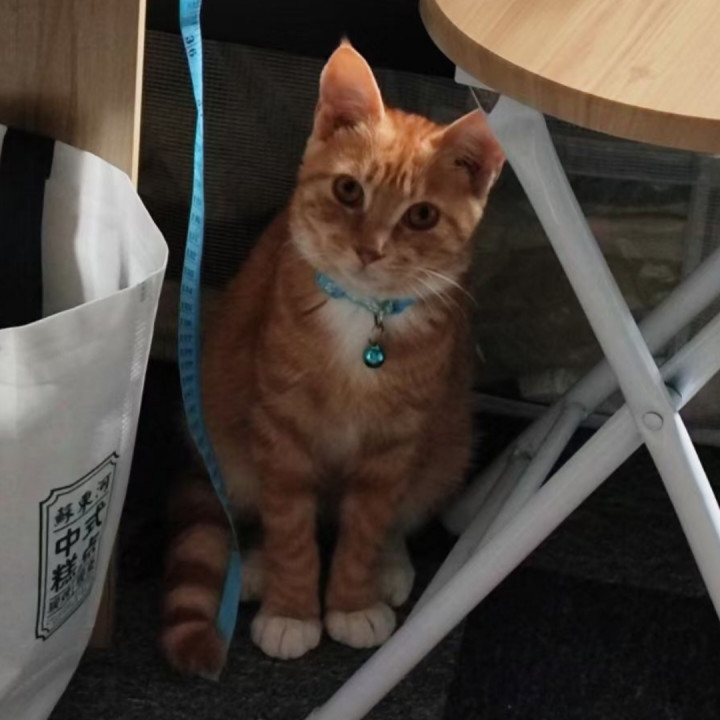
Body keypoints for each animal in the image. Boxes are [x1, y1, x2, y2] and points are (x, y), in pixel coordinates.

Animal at [160, 40, 504, 676]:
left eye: (422, 216)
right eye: (349, 191)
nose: (370, 250)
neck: (362, 320)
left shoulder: (394, 443)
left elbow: (365, 528)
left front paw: (351, 602)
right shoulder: (280, 428)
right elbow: (291, 527)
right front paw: (293, 610)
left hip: (448, 446)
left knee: (404, 511)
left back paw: (390, 566)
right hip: (224, 437)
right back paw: (258, 568)